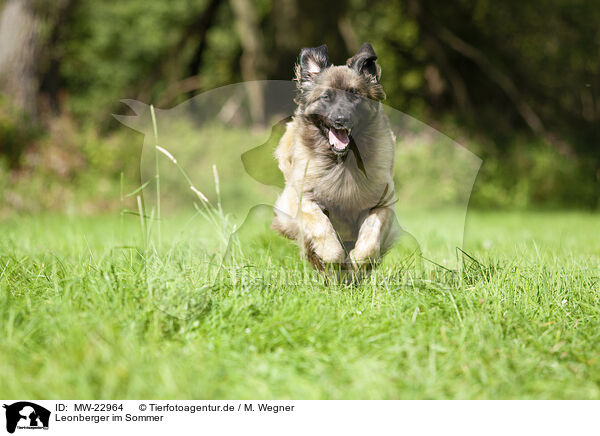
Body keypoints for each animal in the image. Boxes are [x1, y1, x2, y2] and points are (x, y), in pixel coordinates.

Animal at [274, 43, 398, 270]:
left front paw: (358, 261)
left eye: (354, 94)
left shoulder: (382, 203)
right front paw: (332, 257)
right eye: (326, 97)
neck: (342, 162)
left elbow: (370, 237)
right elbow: (322, 227)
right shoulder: (304, 197)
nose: (341, 119)